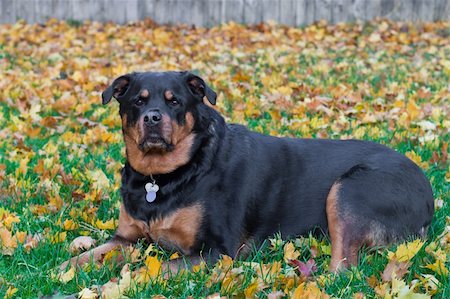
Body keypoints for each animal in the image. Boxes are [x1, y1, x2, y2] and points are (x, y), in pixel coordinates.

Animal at [61, 71, 434, 274]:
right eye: (137, 101)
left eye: (174, 101)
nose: (153, 117)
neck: (164, 177)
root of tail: (429, 196)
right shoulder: (126, 238)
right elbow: (89, 256)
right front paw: (62, 270)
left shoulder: (217, 250)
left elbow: (154, 268)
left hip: (348, 190)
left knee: (344, 267)